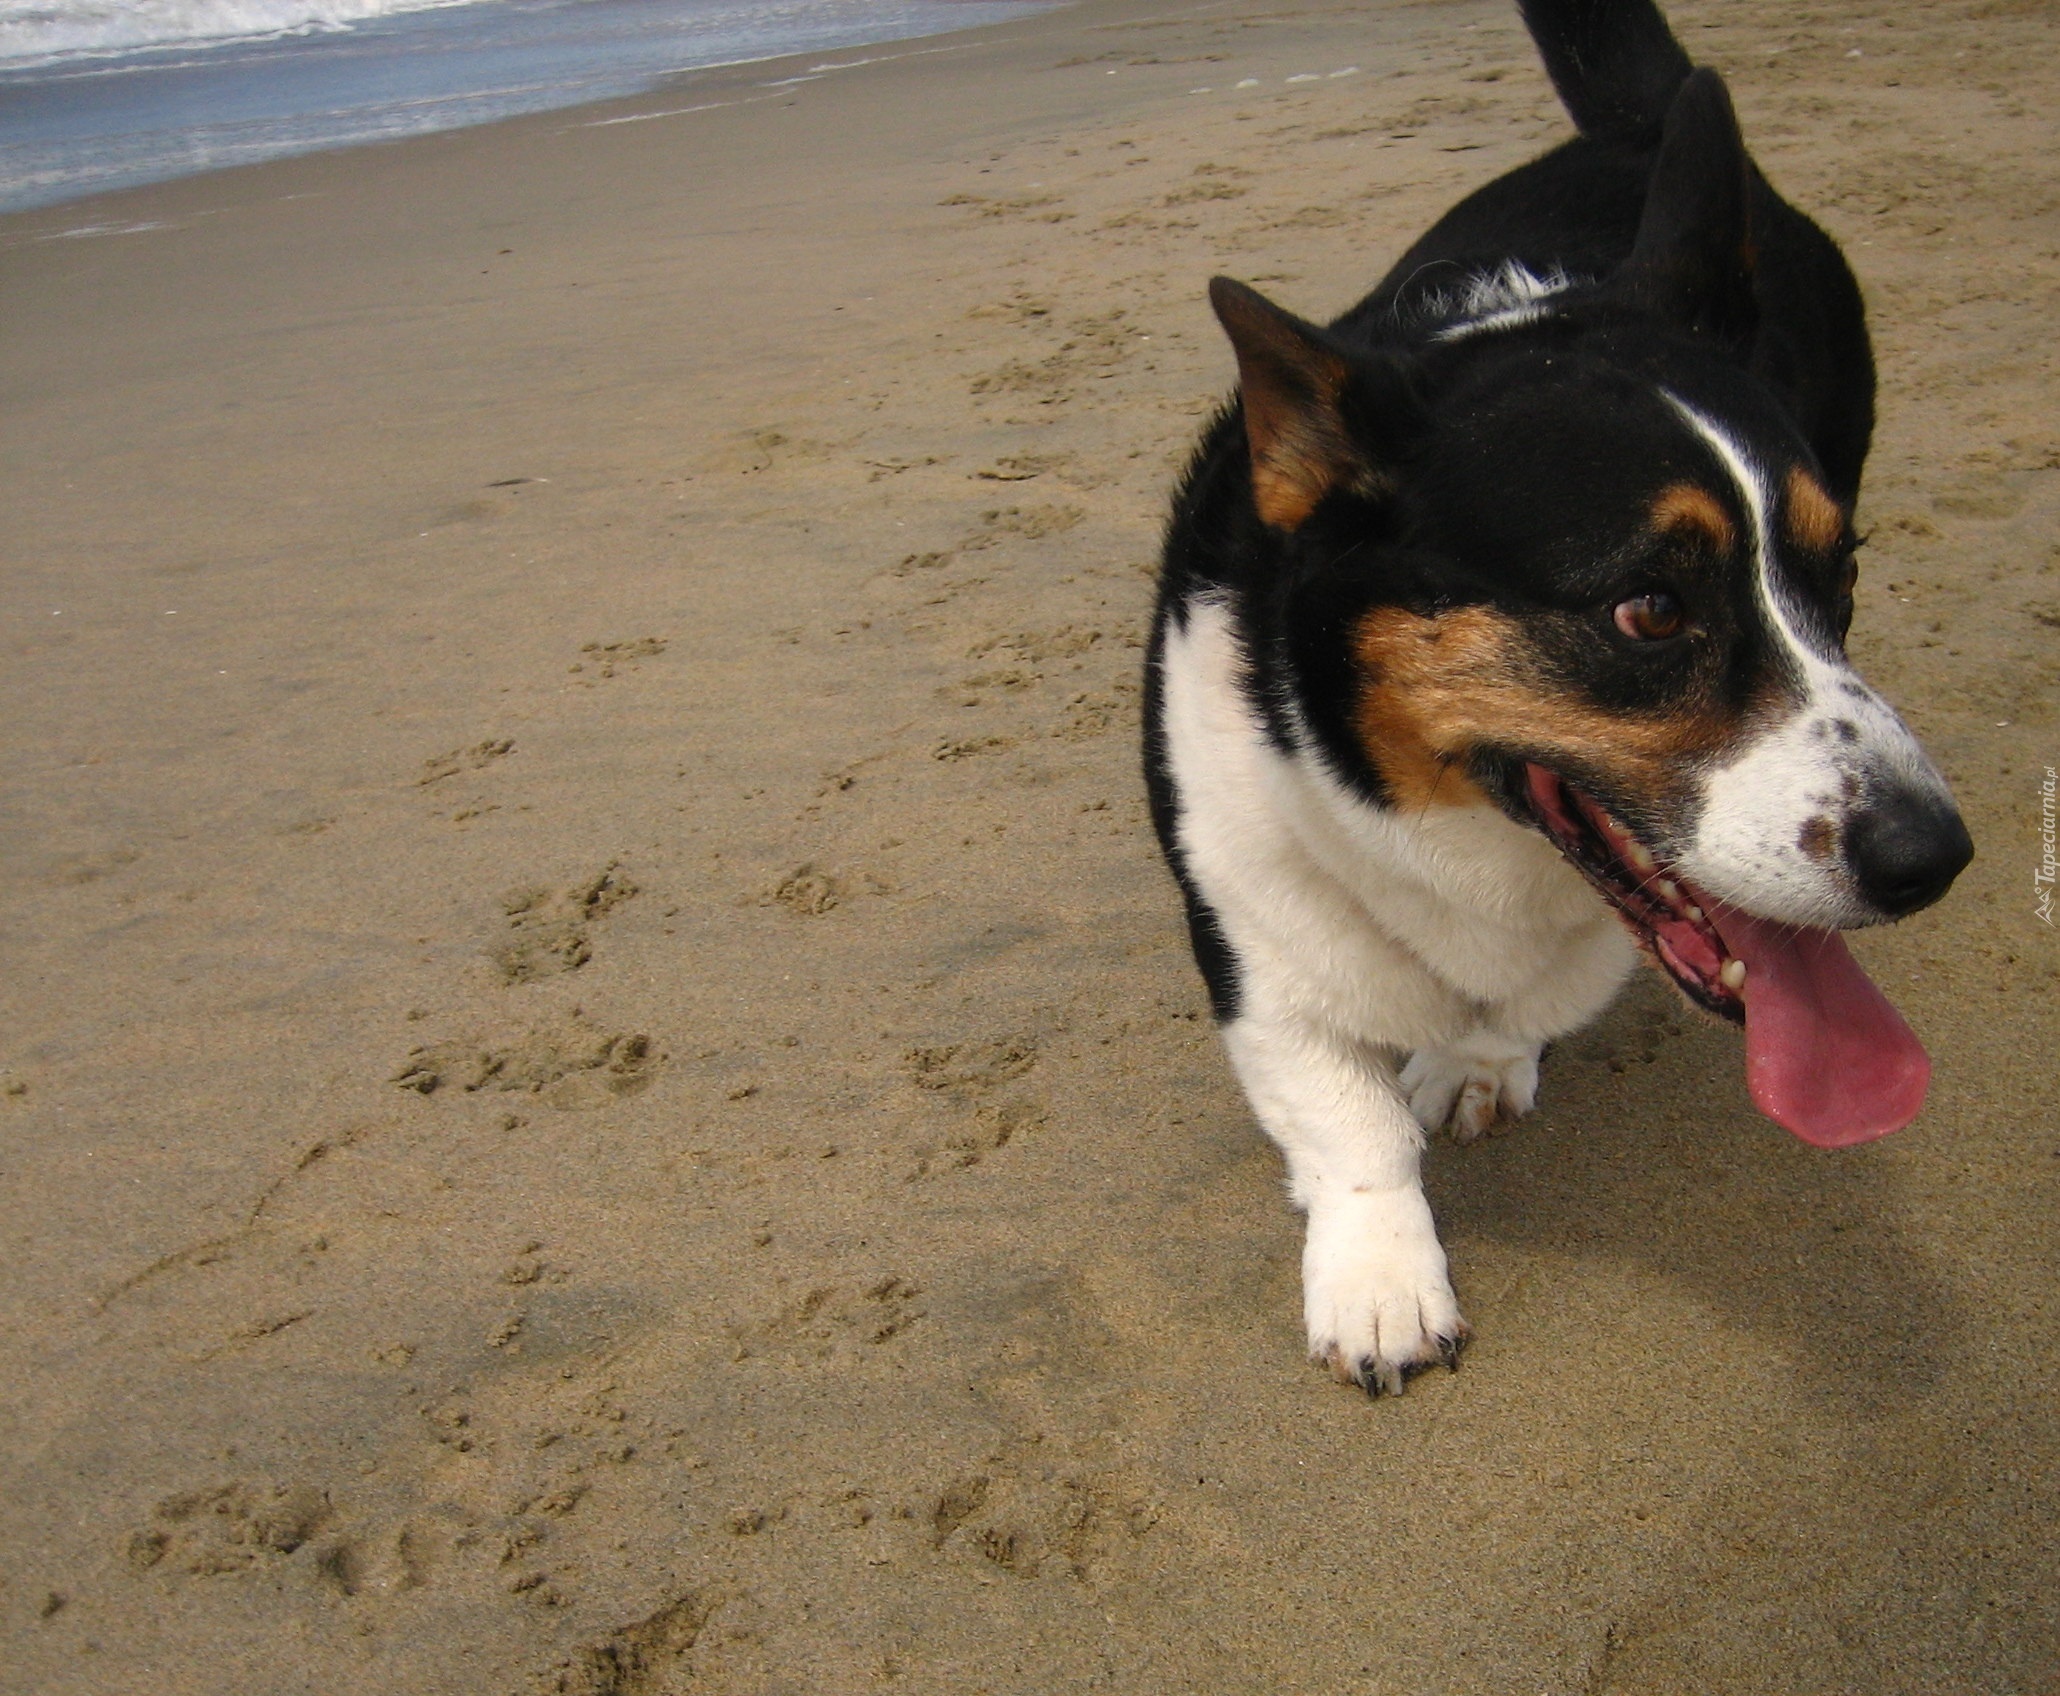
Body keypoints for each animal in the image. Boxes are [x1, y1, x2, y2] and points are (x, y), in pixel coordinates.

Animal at [1153, 0, 1969, 1393]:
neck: (1453, 836)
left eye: (1839, 572)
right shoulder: (1244, 913)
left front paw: (1474, 1065)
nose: (1934, 860)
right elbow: (1339, 1110)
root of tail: (1643, 127)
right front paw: (1377, 1282)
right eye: (1647, 611)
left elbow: (1519, 1007)